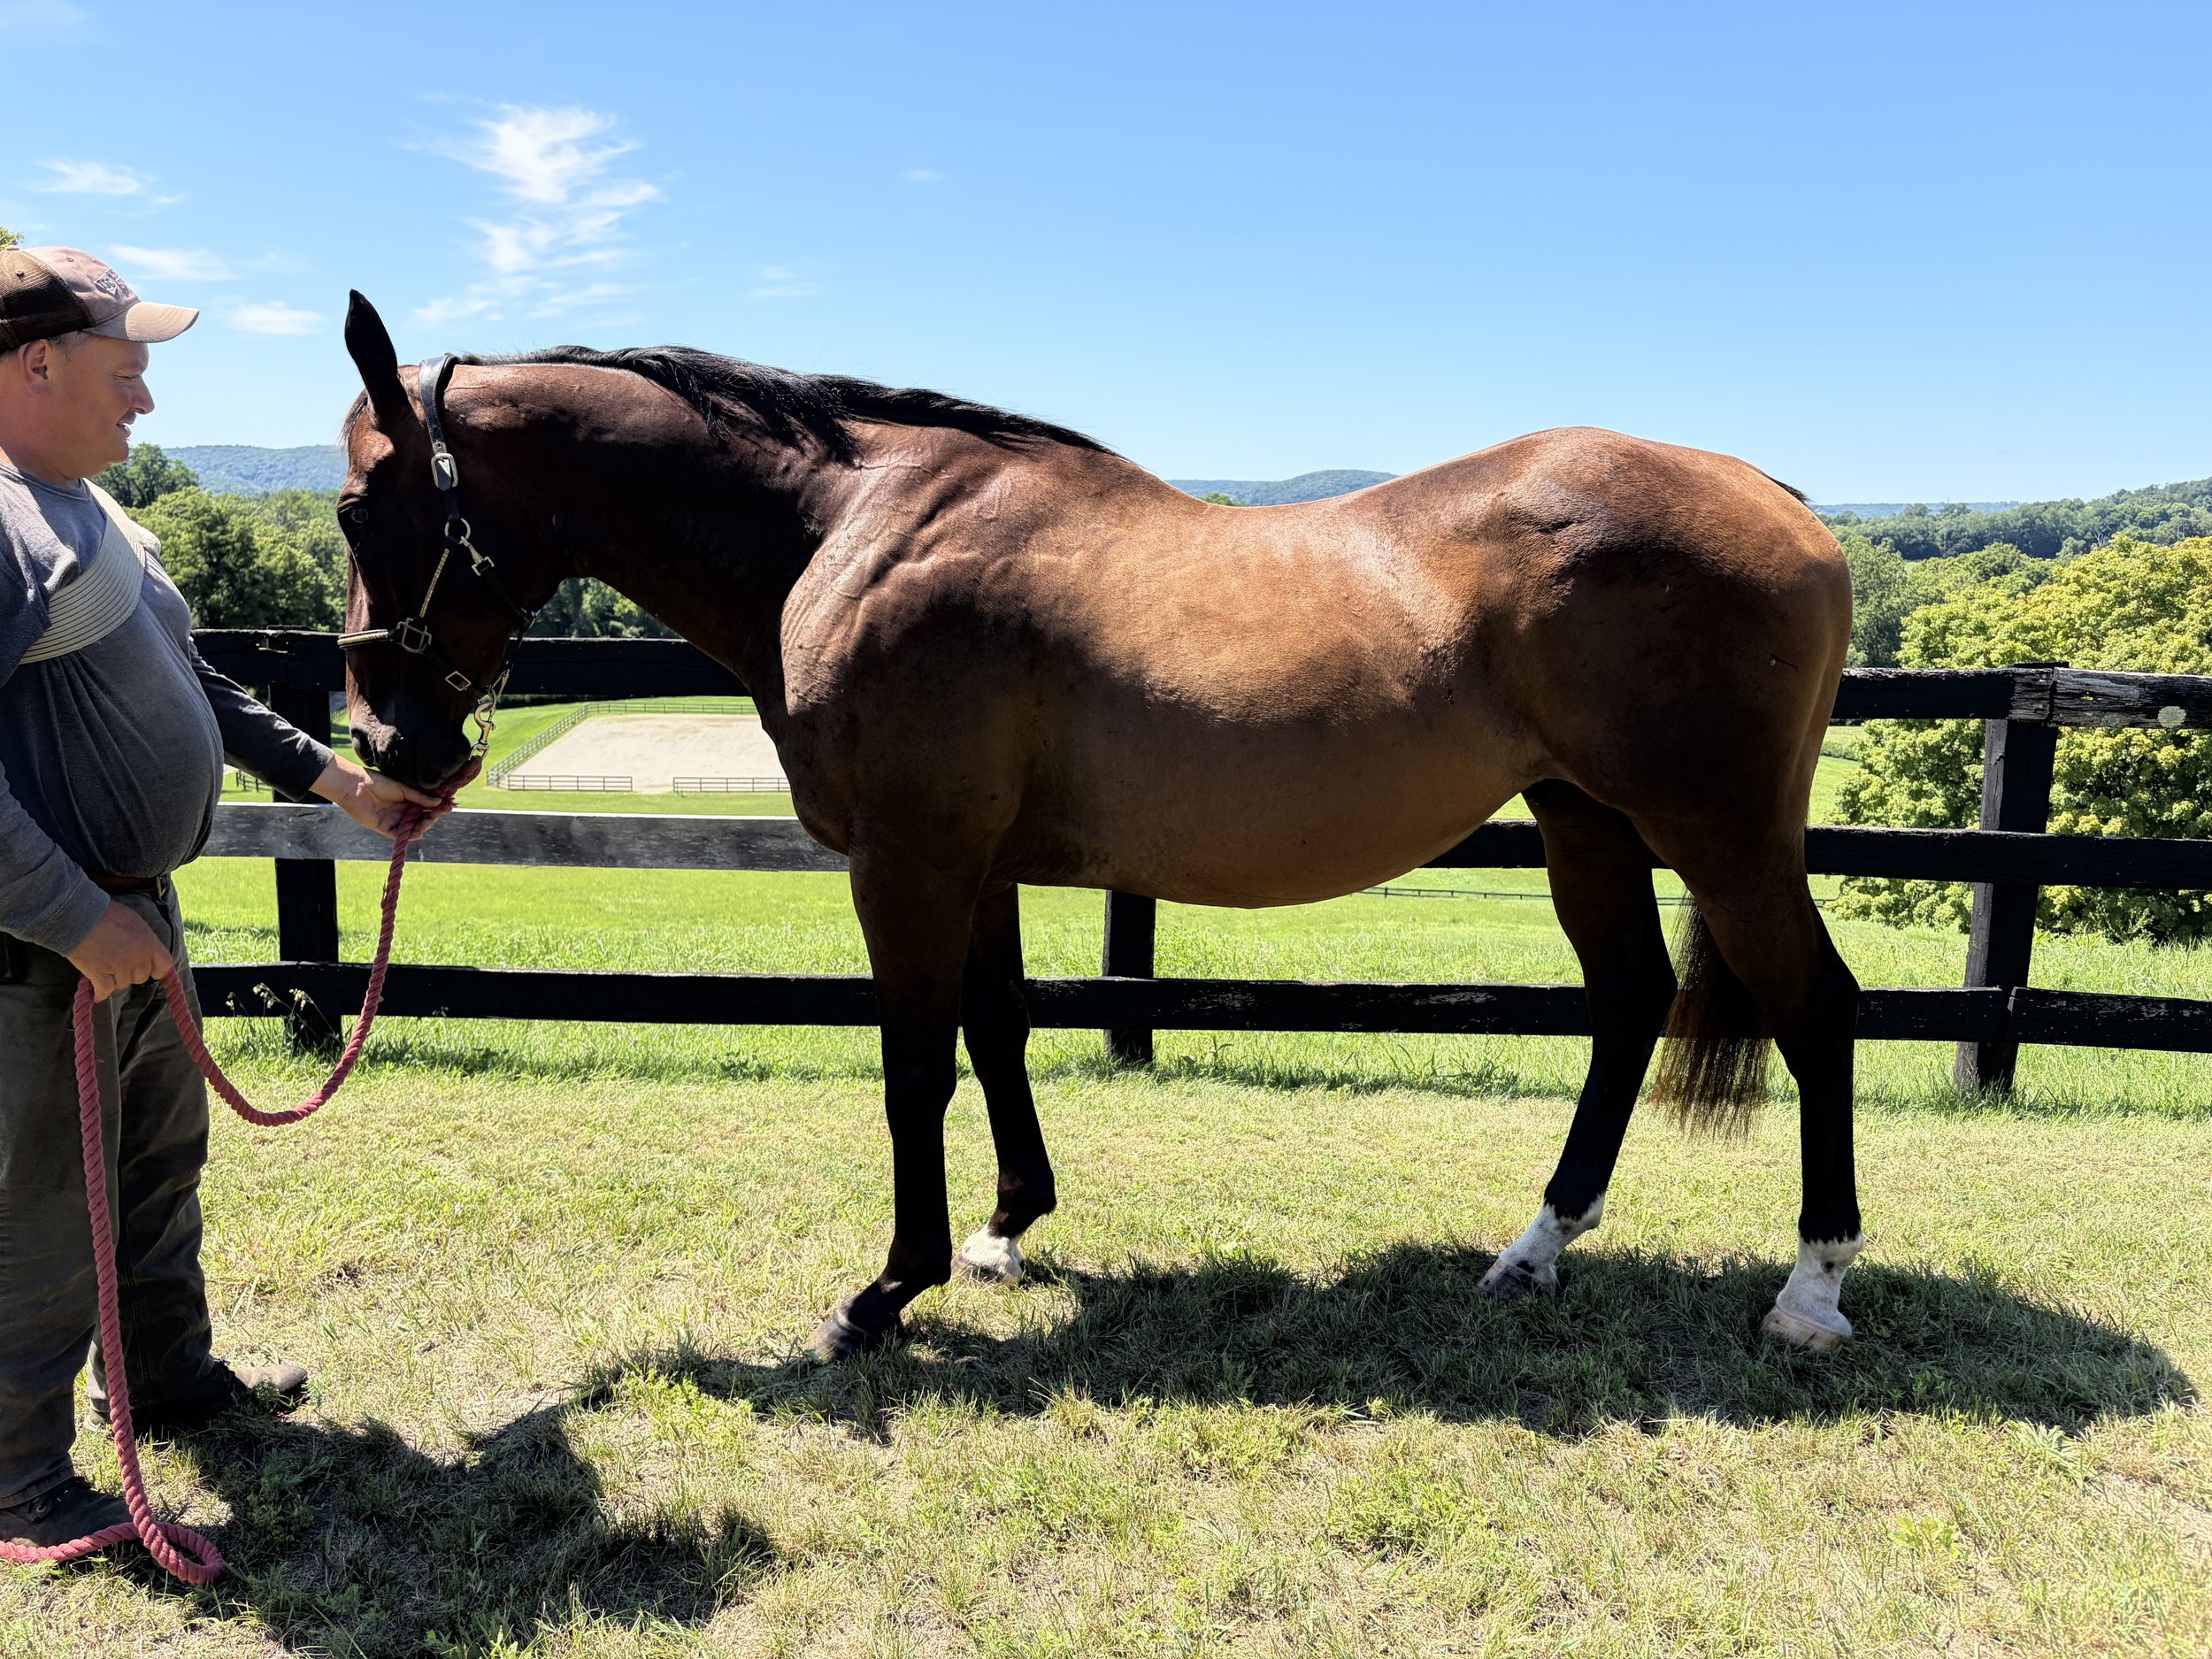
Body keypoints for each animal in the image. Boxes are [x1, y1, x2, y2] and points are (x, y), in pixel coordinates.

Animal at [332, 293, 1864, 1361]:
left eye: (352, 505)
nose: (389, 746)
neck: (849, 526)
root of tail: (1778, 499)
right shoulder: (977, 865)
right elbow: (1000, 1029)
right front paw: (1007, 1228)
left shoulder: (907, 860)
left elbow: (913, 1067)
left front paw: (885, 1291)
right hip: (1583, 819)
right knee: (1628, 1001)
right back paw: (1534, 1249)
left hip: (1722, 835)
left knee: (1815, 1006)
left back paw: (1810, 1286)